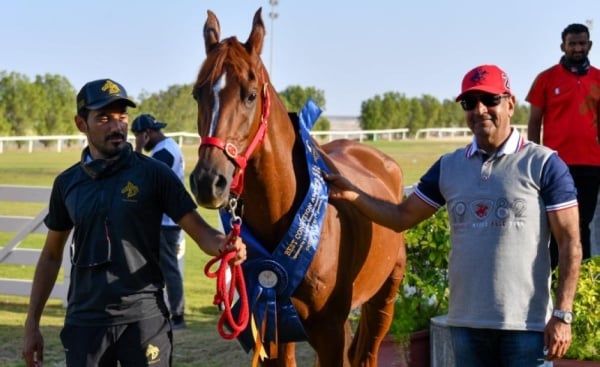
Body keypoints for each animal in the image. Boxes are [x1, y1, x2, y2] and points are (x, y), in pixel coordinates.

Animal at [191, 7, 408, 366]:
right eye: (198, 93)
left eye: (250, 95)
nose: (209, 181)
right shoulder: (272, 324)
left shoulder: (330, 332)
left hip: (384, 299)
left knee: (367, 352)